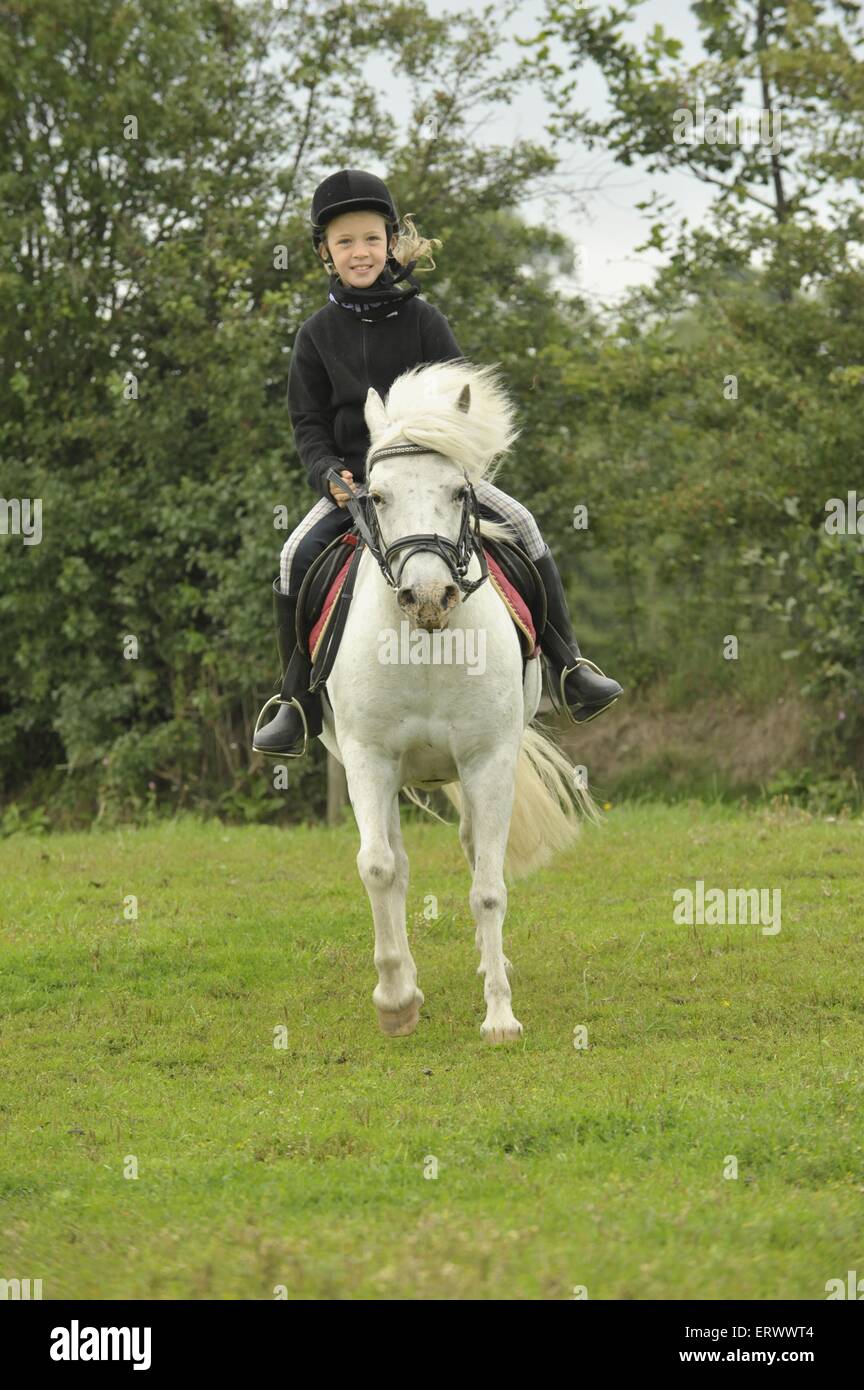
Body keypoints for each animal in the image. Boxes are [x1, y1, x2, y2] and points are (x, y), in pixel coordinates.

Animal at [322, 361, 600, 1045]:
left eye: (457, 491)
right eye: (377, 495)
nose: (428, 597)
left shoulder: (487, 759)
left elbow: (488, 888)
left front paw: (500, 1015)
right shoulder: (368, 760)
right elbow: (378, 868)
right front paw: (396, 1000)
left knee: (475, 853)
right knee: (395, 863)